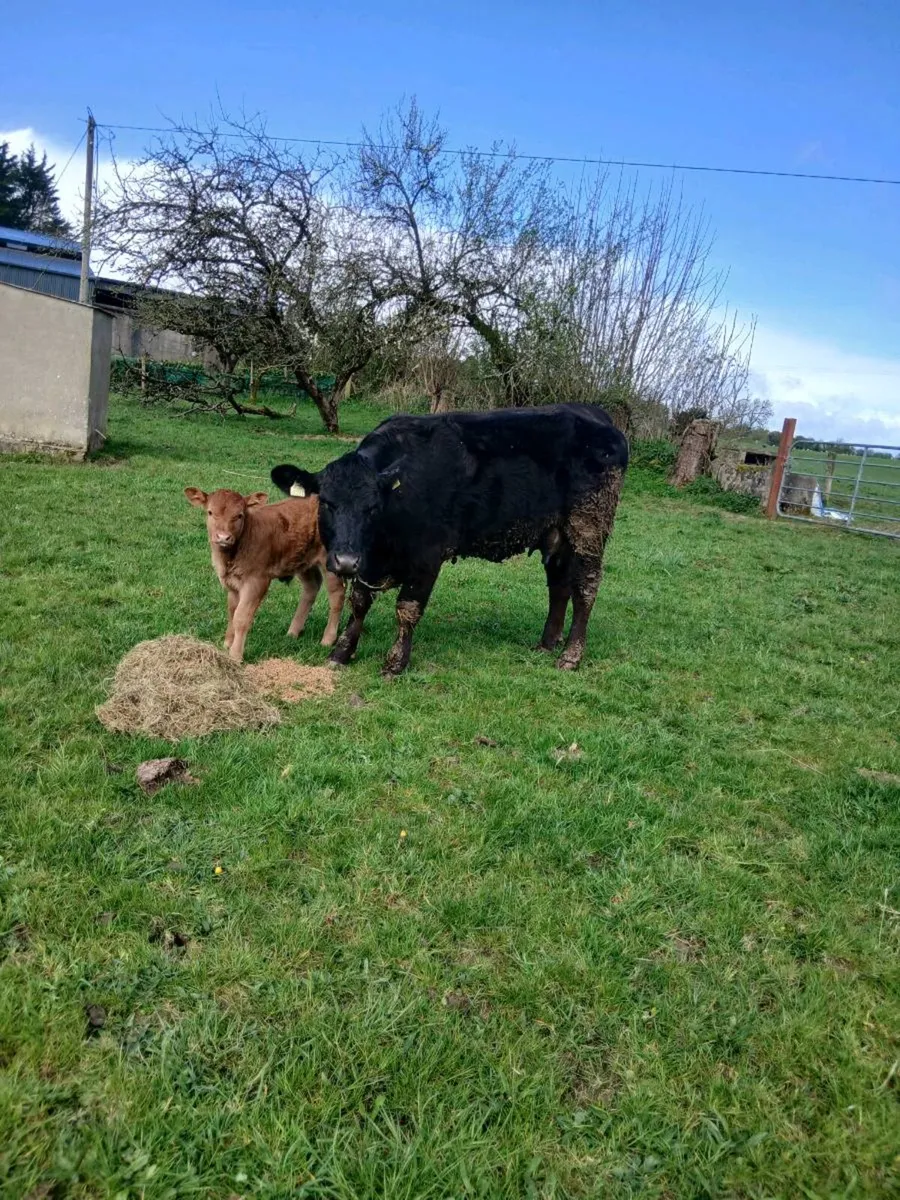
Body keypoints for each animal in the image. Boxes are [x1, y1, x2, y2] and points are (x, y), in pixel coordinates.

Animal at [184, 487, 345, 662]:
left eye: (239, 515)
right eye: (210, 512)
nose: (223, 537)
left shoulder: (256, 581)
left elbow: (241, 617)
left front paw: (235, 655)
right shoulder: (231, 584)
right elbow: (232, 611)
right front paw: (227, 643)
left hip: (331, 563)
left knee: (337, 596)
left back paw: (327, 639)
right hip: (302, 560)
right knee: (312, 587)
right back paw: (292, 632)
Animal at [271, 403, 628, 678]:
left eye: (373, 508)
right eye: (326, 503)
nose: (345, 561)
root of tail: (595, 413)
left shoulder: (427, 556)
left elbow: (407, 609)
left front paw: (395, 663)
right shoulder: (369, 560)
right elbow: (359, 602)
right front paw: (342, 653)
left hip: (589, 527)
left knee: (585, 587)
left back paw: (570, 656)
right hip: (555, 533)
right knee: (559, 585)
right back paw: (547, 643)